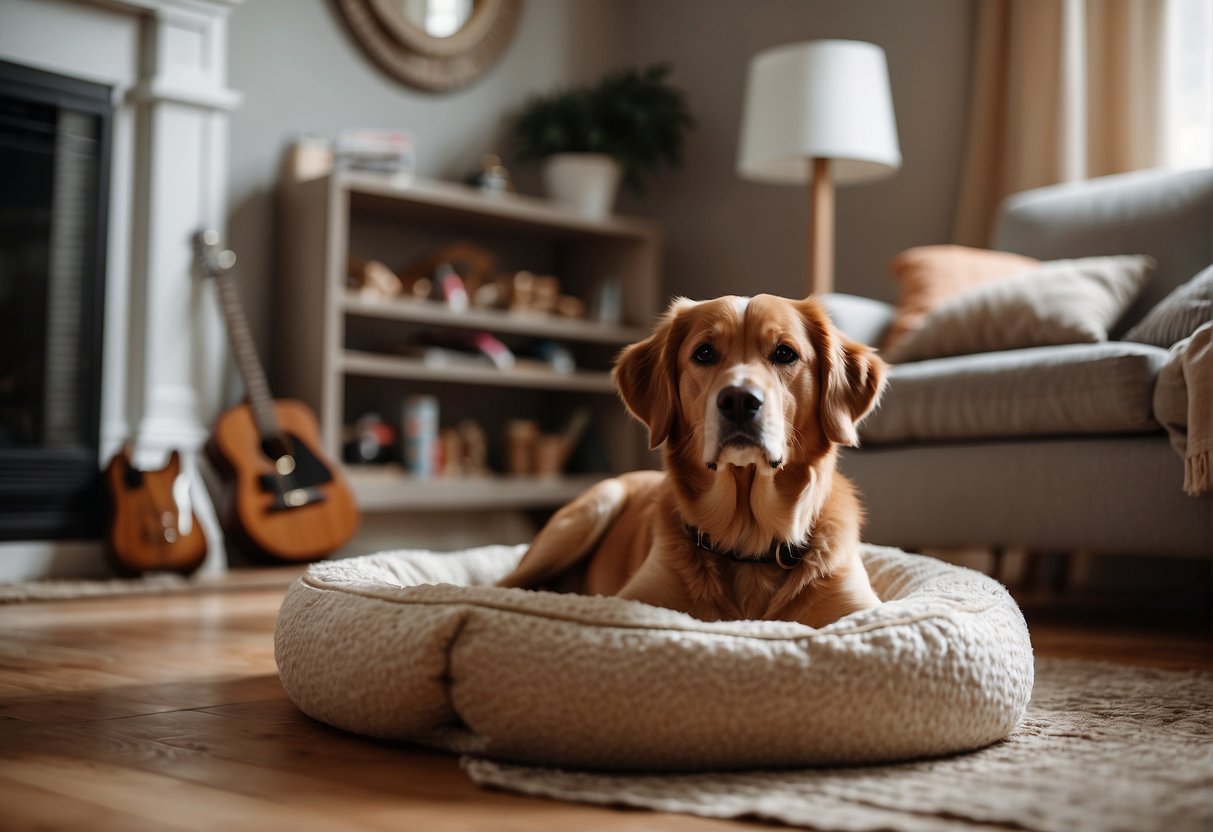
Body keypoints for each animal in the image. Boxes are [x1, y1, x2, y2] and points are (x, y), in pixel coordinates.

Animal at [497, 297, 887, 630]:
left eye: (784, 353)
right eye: (704, 353)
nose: (739, 400)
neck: (747, 543)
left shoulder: (856, 610)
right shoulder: (636, 598)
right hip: (590, 510)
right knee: (501, 586)